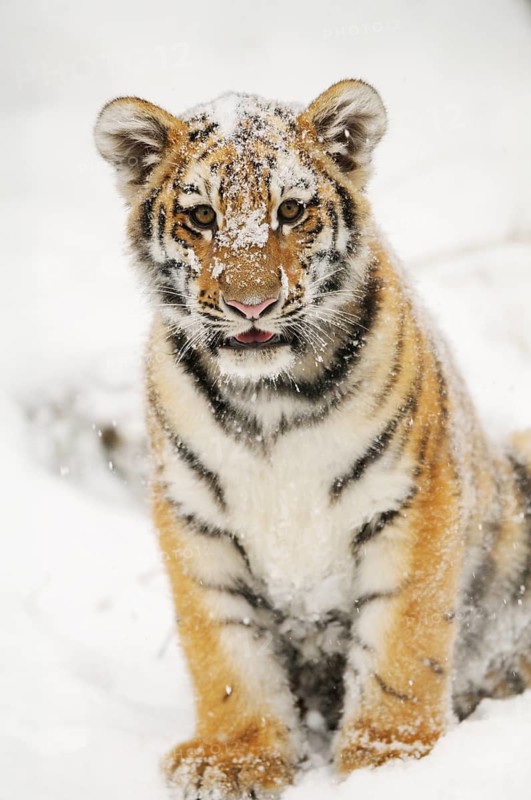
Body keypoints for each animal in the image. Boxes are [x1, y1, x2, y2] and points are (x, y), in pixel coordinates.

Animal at [94, 79, 531, 799]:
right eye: (203, 217)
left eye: (291, 210)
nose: (251, 305)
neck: (269, 400)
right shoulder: (195, 517)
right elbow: (225, 650)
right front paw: (235, 757)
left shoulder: (413, 500)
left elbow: (403, 640)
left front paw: (390, 758)